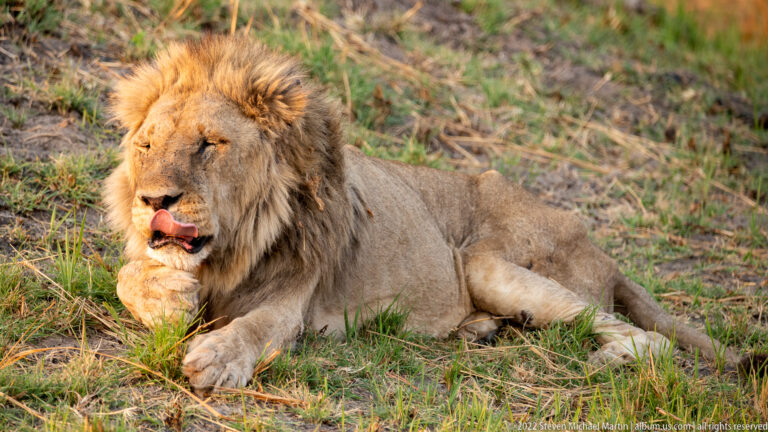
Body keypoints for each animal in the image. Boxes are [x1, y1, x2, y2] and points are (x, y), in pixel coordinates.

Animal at [104, 35, 757, 392]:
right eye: (146, 146)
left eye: (209, 144)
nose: (154, 201)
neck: (234, 247)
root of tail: (605, 251)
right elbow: (124, 277)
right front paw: (169, 299)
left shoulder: (294, 297)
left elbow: (254, 327)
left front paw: (215, 358)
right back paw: (479, 329)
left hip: (486, 262)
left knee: (642, 336)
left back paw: (605, 358)